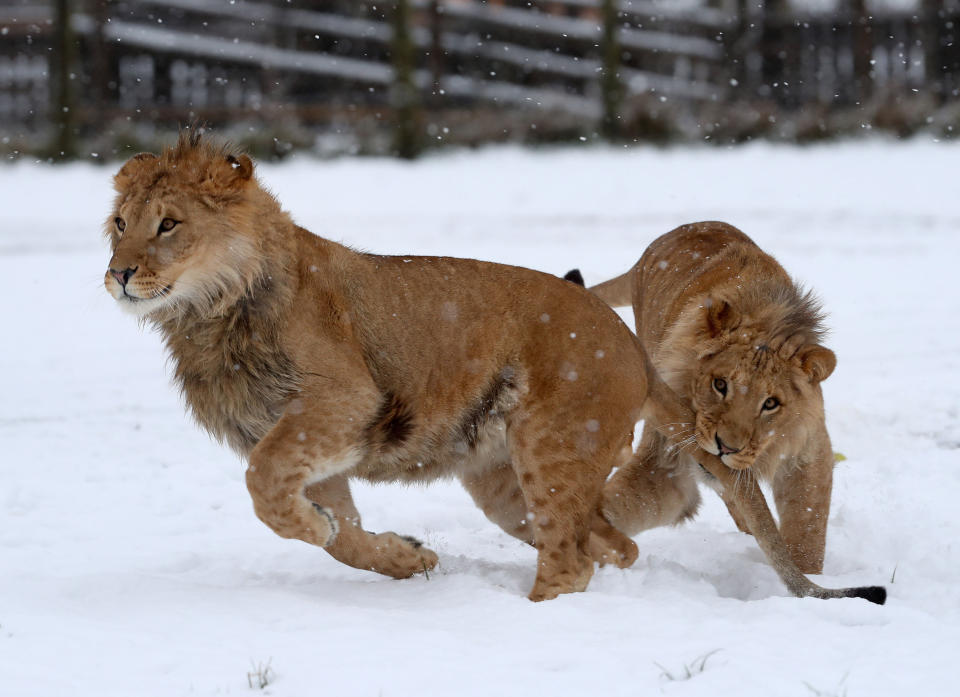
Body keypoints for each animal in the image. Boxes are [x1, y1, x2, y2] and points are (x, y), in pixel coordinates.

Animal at [576, 220, 840, 572]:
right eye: (720, 384)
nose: (725, 447)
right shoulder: (664, 459)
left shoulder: (808, 451)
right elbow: (612, 504)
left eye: (771, 404)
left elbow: (807, 530)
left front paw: (806, 577)